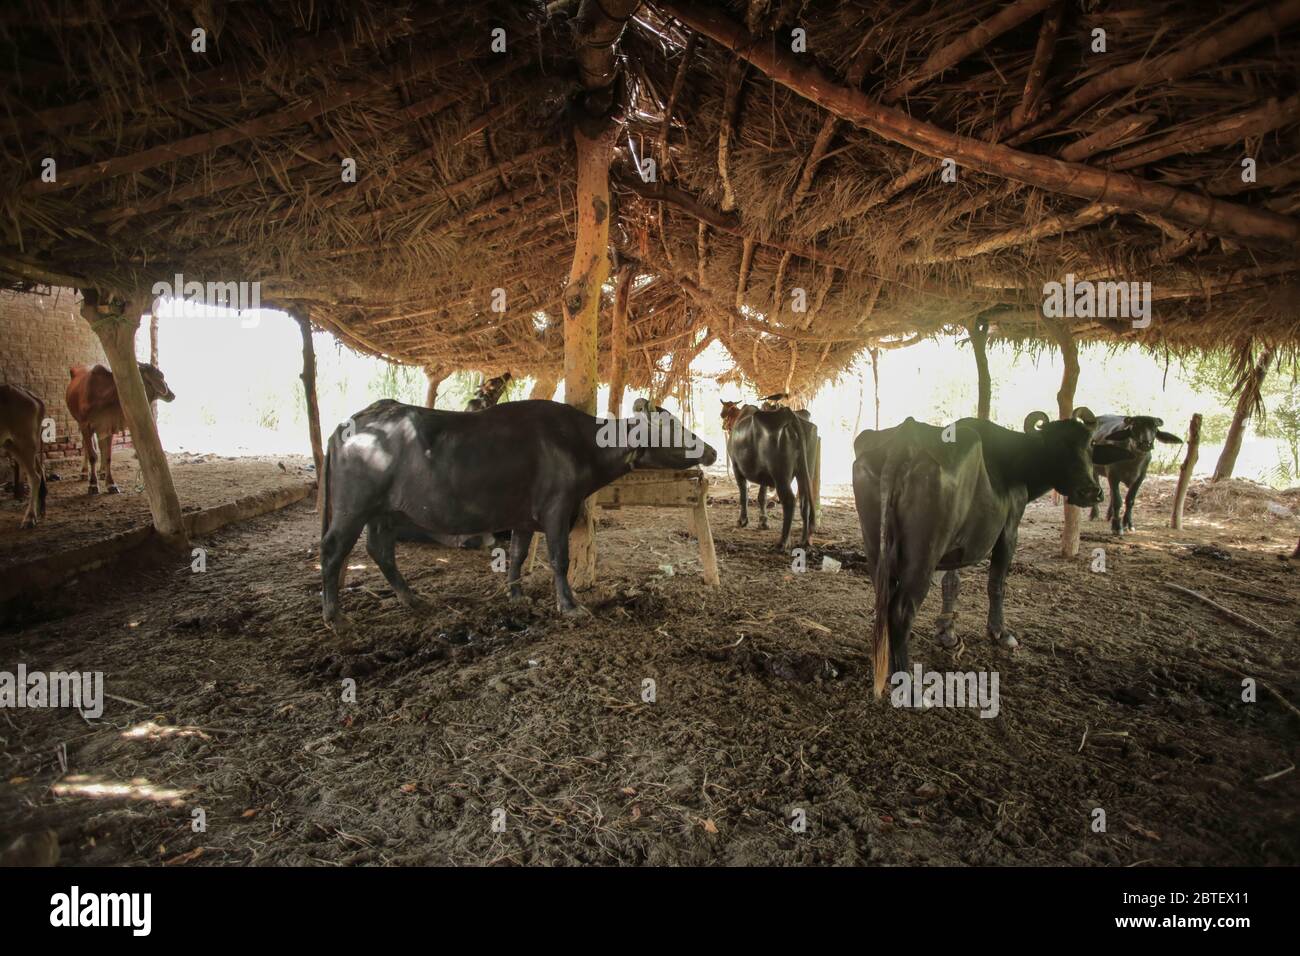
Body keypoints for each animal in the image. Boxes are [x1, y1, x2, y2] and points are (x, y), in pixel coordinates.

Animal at [0, 382, 48, 530]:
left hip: (25, 441)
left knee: (35, 477)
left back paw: (30, 517)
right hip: (12, 445)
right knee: (40, 469)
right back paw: (39, 510)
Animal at [65, 358, 175, 494]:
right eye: (161, 375)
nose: (172, 395)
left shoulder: (108, 424)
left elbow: (108, 456)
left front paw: (111, 484)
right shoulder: (85, 425)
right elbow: (92, 455)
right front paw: (93, 485)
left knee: (100, 447)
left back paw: (102, 472)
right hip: (80, 423)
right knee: (86, 446)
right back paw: (84, 473)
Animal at [319, 395, 717, 634]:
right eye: (673, 426)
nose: (712, 450)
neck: (579, 444)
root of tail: (353, 421)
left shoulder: (523, 520)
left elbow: (518, 555)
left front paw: (516, 596)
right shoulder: (557, 509)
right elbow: (558, 559)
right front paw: (569, 605)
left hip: (385, 512)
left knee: (380, 550)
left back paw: (411, 598)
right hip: (353, 508)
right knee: (333, 550)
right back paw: (334, 616)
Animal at [852, 408, 1128, 697]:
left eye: (1090, 445)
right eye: (1058, 446)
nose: (1091, 491)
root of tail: (904, 441)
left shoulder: (955, 549)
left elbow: (952, 583)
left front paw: (947, 633)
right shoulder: (1010, 531)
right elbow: (997, 583)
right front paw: (1001, 633)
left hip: (877, 549)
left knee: (884, 604)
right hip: (923, 556)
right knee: (900, 611)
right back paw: (908, 686)